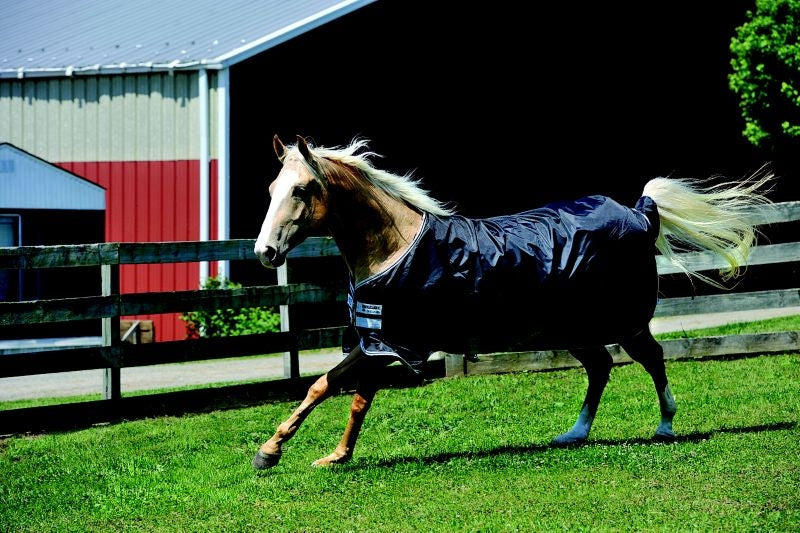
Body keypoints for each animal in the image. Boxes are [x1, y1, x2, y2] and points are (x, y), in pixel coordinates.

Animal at [251, 134, 774, 469]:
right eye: (273, 189)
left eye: (302, 189)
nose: (265, 252)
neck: (396, 246)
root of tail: (641, 212)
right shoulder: (381, 340)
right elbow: (348, 395)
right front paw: (329, 455)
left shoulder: (388, 343)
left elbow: (327, 387)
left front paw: (271, 453)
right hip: (574, 330)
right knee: (601, 367)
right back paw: (574, 434)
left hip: (623, 322)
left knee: (652, 358)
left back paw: (665, 426)